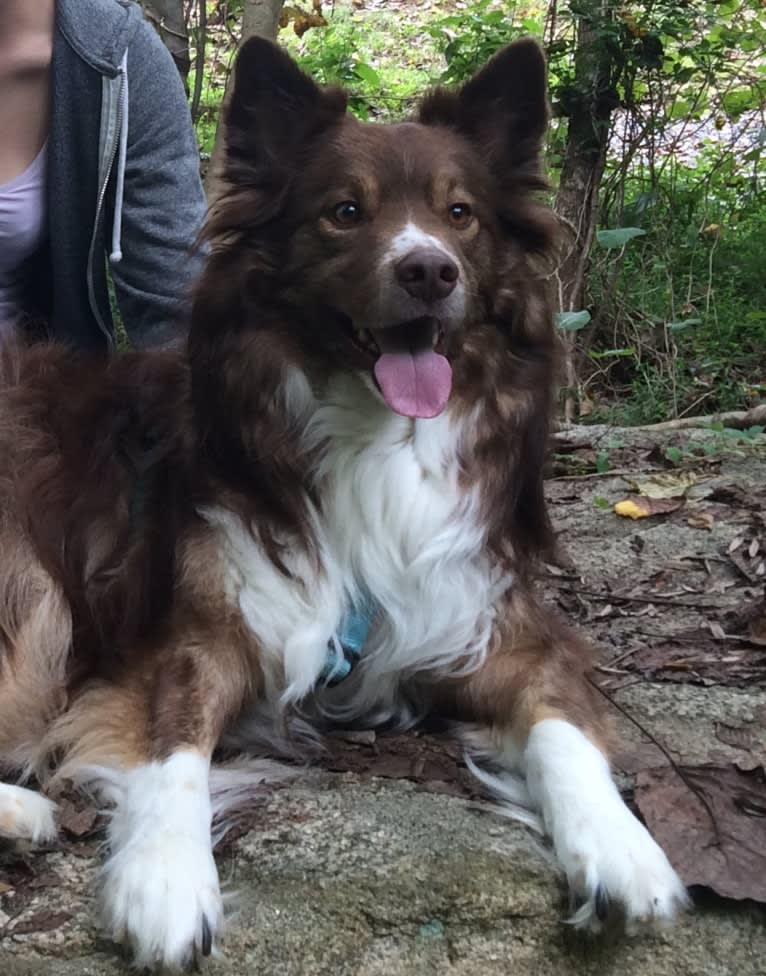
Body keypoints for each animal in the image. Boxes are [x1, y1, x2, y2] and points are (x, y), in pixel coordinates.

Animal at [0, 36, 688, 968]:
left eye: (461, 213)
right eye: (344, 211)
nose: (429, 270)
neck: (376, 437)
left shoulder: (487, 617)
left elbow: (563, 722)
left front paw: (621, 848)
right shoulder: (185, 638)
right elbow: (172, 746)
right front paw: (165, 880)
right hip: (31, 587)